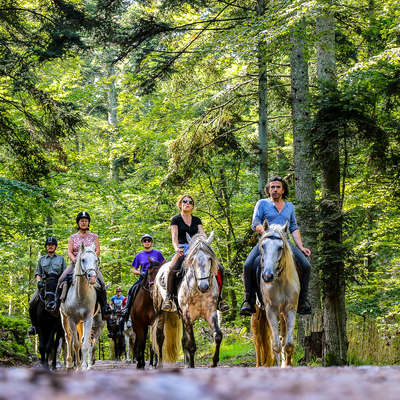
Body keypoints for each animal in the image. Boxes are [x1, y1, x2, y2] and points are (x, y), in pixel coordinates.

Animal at [153, 231, 222, 368]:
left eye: (210, 259)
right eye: (193, 260)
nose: (204, 286)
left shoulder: (211, 313)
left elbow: (217, 336)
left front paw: (214, 362)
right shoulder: (187, 316)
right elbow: (192, 344)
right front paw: (192, 366)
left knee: (183, 339)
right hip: (161, 312)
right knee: (160, 337)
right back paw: (160, 364)